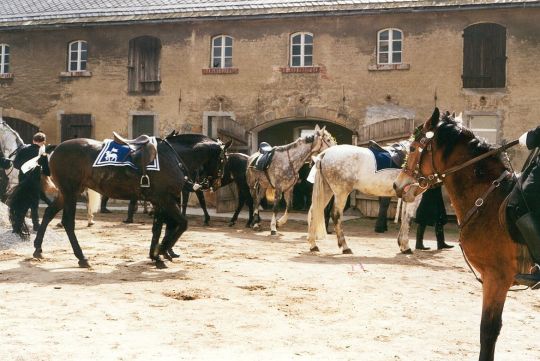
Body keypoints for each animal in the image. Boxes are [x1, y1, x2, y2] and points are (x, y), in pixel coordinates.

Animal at [11, 132, 226, 268]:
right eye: (224, 159)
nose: (216, 183)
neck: (171, 158)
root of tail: (53, 149)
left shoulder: (159, 201)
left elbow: (159, 228)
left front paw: (157, 254)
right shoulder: (165, 199)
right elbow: (181, 224)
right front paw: (162, 251)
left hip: (67, 192)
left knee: (48, 213)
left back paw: (38, 248)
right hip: (71, 192)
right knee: (67, 222)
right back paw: (82, 257)